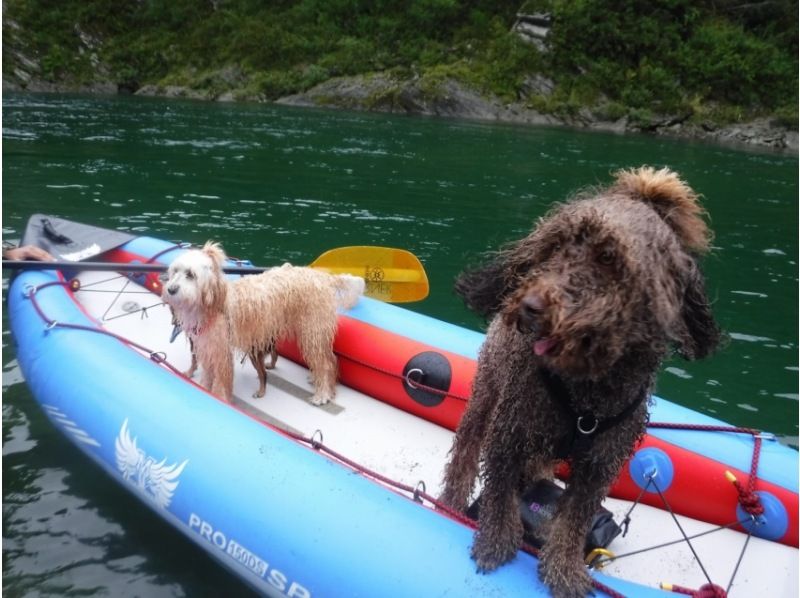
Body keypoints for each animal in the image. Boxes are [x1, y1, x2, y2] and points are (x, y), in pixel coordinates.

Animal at [166, 241, 366, 406]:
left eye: (190, 275)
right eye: (175, 272)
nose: (171, 289)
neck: (213, 304)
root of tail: (321, 276)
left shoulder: (221, 353)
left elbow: (221, 383)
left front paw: (219, 398)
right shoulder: (208, 348)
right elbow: (208, 376)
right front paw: (204, 389)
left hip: (312, 332)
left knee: (326, 362)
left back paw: (322, 395)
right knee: (329, 359)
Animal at [440, 168, 720, 598]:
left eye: (609, 258)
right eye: (554, 244)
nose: (529, 307)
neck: (585, 392)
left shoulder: (600, 463)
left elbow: (573, 521)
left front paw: (564, 569)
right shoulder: (508, 432)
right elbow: (499, 493)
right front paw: (495, 543)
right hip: (487, 393)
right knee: (466, 452)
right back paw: (450, 504)